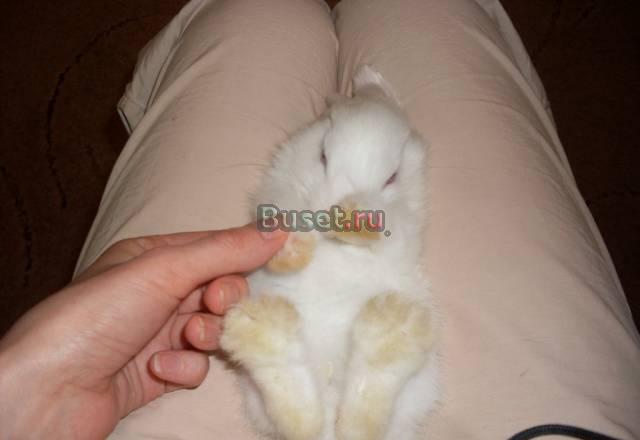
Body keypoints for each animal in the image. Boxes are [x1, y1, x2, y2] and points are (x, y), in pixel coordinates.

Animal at [220, 65, 439, 440]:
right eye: (323, 156)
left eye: (392, 177)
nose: (332, 212)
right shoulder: (280, 189)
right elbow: (284, 212)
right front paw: (292, 250)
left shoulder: (406, 227)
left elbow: (389, 233)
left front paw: (356, 218)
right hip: (256, 392)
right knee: (303, 421)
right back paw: (266, 334)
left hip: (416, 386)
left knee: (359, 424)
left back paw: (390, 328)